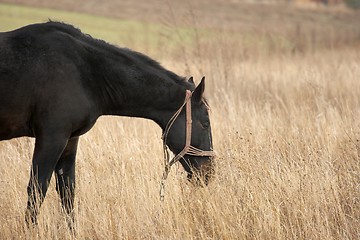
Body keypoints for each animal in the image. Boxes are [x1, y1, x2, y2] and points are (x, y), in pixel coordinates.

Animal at [0, 21, 214, 226]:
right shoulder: (51, 138)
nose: (209, 173)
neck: (86, 73)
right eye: (205, 124)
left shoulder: (70, 140)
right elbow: (37, 190)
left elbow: (67, 192)